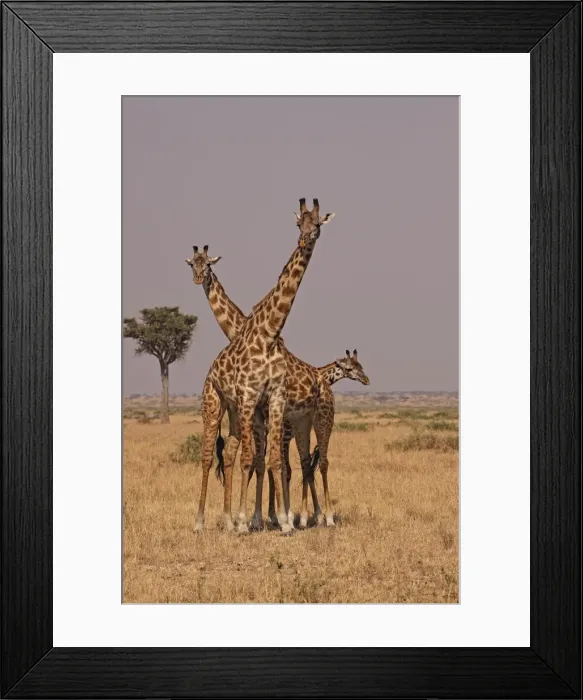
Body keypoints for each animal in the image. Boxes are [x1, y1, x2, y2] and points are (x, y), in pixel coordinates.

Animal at [190, 198, 335, 534]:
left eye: (317, 224)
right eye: (298, 223)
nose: (305, 239)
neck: (268, 334)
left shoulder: (274, 401)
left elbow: (272, 462)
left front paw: (281, 520)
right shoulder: (249, 399)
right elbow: (252, 460)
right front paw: (249, 521)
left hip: (315, 419)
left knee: (314, 461)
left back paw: (323, 517)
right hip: (215, 403)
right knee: (209, 456)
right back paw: (201, 521)